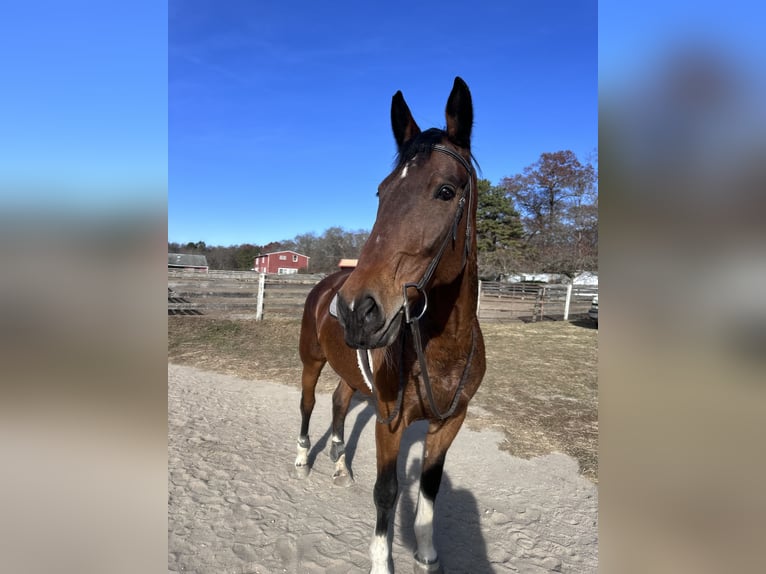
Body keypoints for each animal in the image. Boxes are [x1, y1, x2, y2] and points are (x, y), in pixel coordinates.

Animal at [294, 77, 486, 574]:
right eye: (381, 193)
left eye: (445, 191)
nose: (354, 309)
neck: (441, 350)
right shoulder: (389, 422)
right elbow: (388, 492)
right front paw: (383, 561)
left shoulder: (450, 422)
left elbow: (430, 490)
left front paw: (427, 553)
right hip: (311, 362)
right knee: (308, 406)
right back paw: (302, 458)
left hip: (348, 372)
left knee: (339, 404)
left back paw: (340, 466)